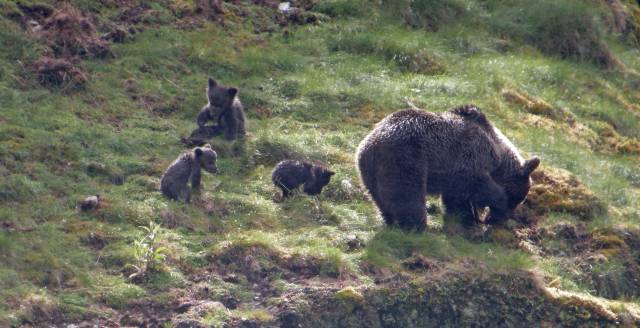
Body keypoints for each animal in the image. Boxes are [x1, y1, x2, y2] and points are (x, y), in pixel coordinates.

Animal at [356, 105, 540, 231]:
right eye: (516, 198)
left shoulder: (454, 174)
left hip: (369, 171)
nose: (497, 220)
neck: (497, 152)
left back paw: (389, 219)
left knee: (380, 198)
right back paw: (416, 225)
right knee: (407, 195)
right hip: (406, 159)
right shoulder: (469, 157)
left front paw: (463, 217)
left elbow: (456, 197)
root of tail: (373, 143)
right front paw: (495, 202)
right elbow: (477, 184)